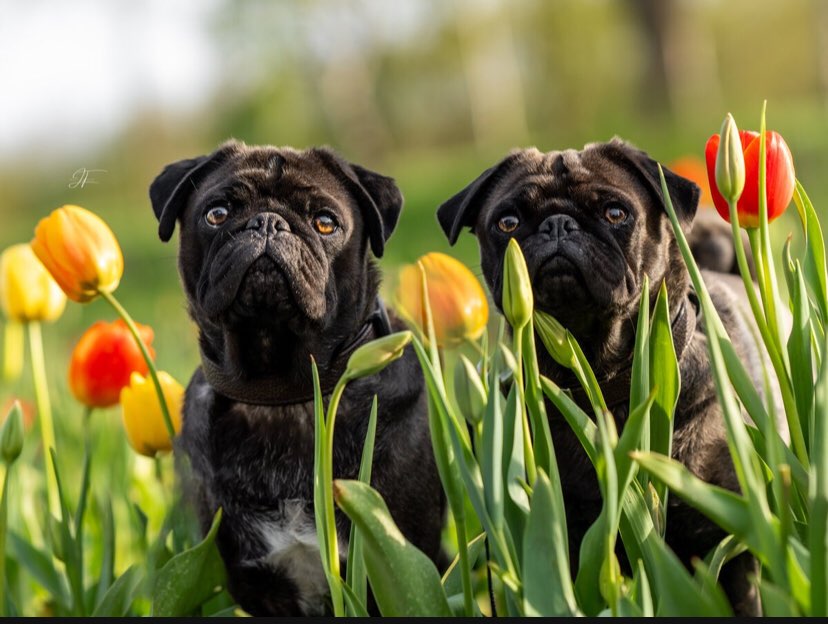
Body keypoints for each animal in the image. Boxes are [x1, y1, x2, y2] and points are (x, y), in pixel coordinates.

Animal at [149, 140, 446, 616]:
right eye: (217, 213)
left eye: (325, 223)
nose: (269, 222)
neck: (282, 395)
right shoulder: (255, 585)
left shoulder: (396, 563)